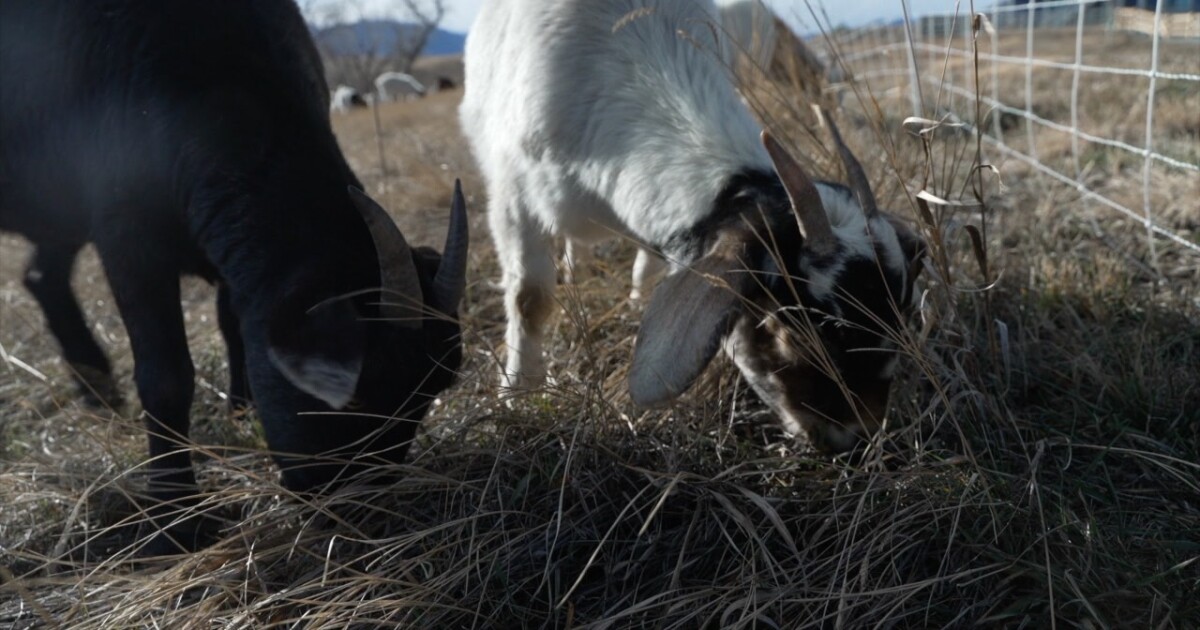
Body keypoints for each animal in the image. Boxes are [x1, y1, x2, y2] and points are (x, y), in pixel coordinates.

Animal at [0, 0, 468, 549]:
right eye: (357, 398)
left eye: (430, 392)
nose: (355, 512)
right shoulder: (126, 236)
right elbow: (166, 376)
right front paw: (176, 516)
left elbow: (234, 324)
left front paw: (240, 410)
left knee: (41, 276)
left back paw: (96, 386)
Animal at [463, 0, 921, 451]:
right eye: (796, 336)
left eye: (901, 318)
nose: (856, 439)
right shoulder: (512, 196)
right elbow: (530, 298)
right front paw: (518, 392)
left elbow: (648, 264)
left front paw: (637, 302)